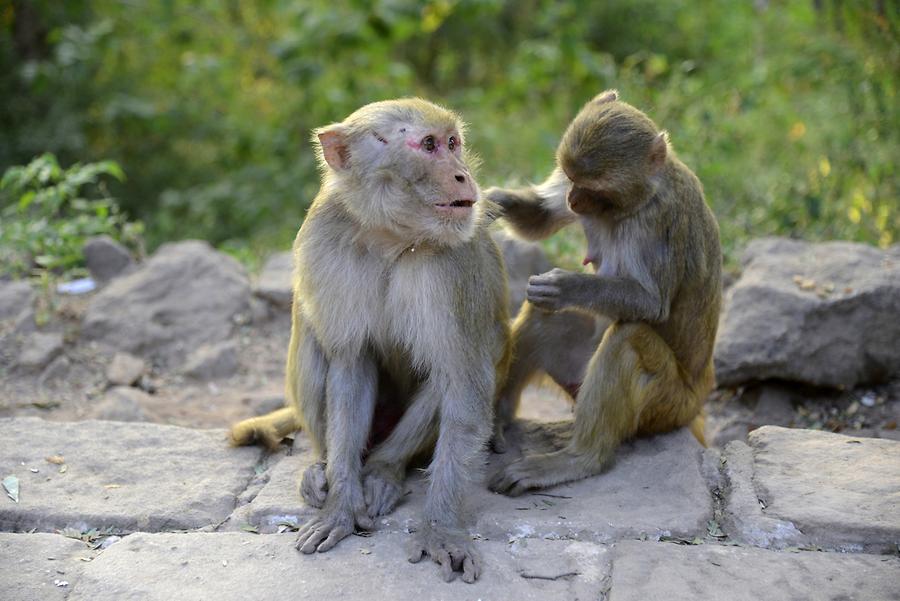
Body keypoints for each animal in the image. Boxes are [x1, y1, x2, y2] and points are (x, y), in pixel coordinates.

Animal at [229, 98, 510, 580]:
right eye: (430, 145)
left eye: (453, 143)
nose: (461, 175)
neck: (391, 235)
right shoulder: (324, 237)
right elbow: (350, 364)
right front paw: (341, 506)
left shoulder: (455, 264)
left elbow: (463, 383)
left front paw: (442, 530)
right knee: (311, 327)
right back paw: (324, 467)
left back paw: (383, 470)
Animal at [486, 88, 724, 492]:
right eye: (571, 178)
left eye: (595, 189)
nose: (573, 200)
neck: (645, 193)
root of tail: (696, 403)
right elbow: (542, 218)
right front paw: (493, 200)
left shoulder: (656, 220)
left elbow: (650, 303)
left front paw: (565, 285)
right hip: (576, 373)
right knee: (545, 316)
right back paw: (499, 416)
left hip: (665, 407)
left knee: (628, 339)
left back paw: (579, 459)